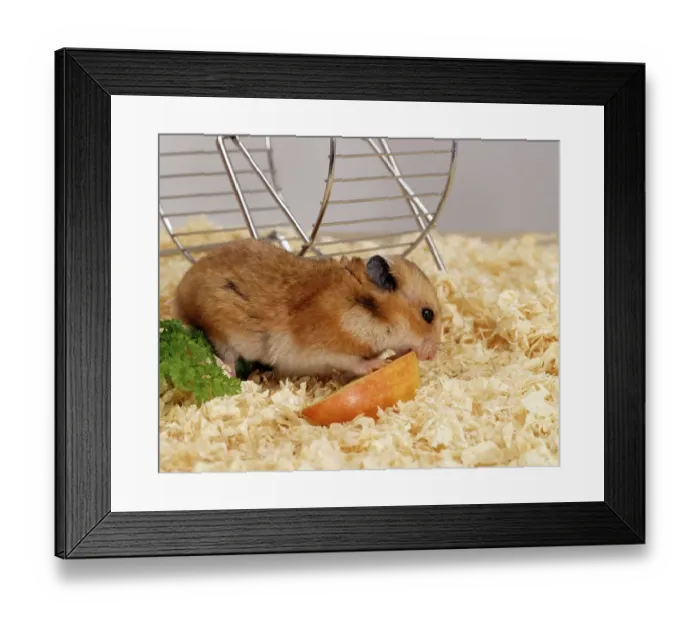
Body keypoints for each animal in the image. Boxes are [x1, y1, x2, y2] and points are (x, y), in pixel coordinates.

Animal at [173, 238, 442, 379]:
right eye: (427, 314)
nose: (432, 356)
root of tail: (179, 292)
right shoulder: (325, 348)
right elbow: (352, 361)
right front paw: (380, 363)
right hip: (222, 330)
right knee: (227, 357)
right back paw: (226, 371)